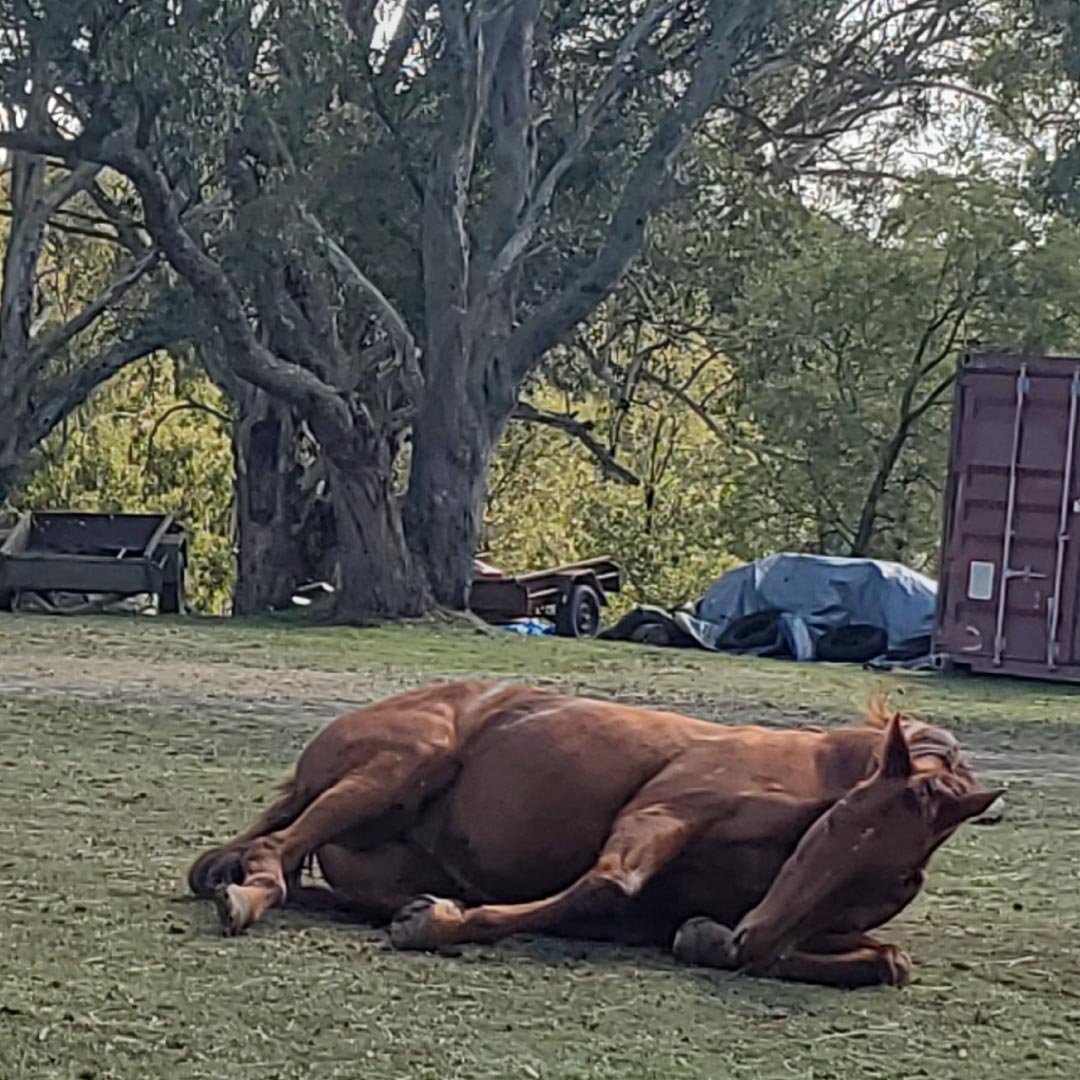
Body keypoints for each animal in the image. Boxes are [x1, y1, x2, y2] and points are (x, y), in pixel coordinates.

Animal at [187, 682, 993, 989]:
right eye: (847, 818)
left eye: (897, 878)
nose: (757, 935)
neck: (816, 777)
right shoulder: (660, 813)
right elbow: (608, 884)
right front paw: (437, 925)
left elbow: (889, 960)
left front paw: (708, 938)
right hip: (404, 761)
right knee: (272, 854)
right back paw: (251, 894)